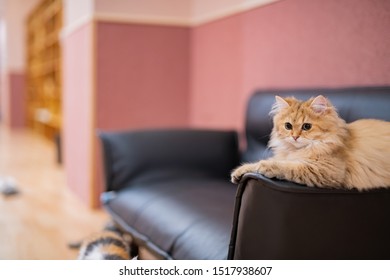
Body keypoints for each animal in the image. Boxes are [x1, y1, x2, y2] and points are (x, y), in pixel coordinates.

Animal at [230, 94, 390, 190]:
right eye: (288, 126)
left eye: (306, 126)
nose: (295, 137)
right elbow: (258, 163)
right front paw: (240, 171)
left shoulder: (326, 170)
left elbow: (289, 167)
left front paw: (266, 166)